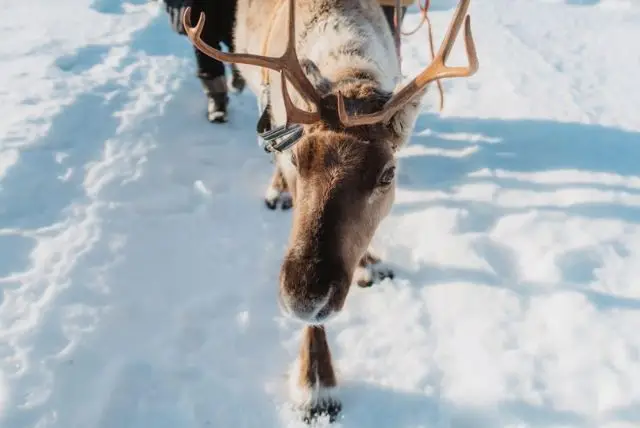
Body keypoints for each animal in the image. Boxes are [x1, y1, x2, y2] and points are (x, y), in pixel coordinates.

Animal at [182, 0, 478, 422]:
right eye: (296, 157)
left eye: (388, 173)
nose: (303, 296)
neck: (347, 74)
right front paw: (315, 386)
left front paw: (370, 263)